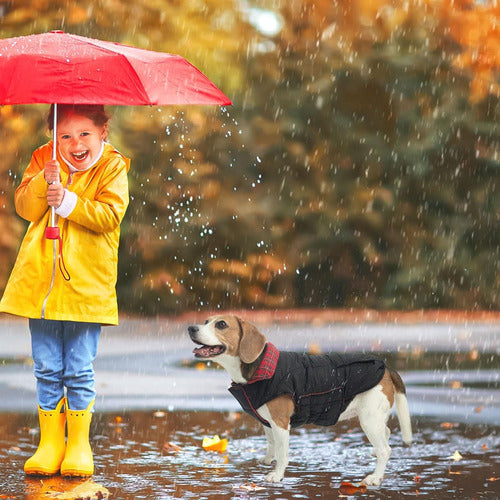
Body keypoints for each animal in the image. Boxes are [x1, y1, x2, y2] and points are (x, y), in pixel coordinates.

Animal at [189, 316, 412, 484]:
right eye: (206, 320)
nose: (191, 328)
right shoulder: (268, 423)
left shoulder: (280, 423)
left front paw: (277, 475)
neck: (259, 368)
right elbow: (271, 444)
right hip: (374, 418)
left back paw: (375, 477)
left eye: (221, 324)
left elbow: (282, 452)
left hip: (369, 418)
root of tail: (385, 368)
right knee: (386, 433)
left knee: (386, 449)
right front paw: (268, 460)